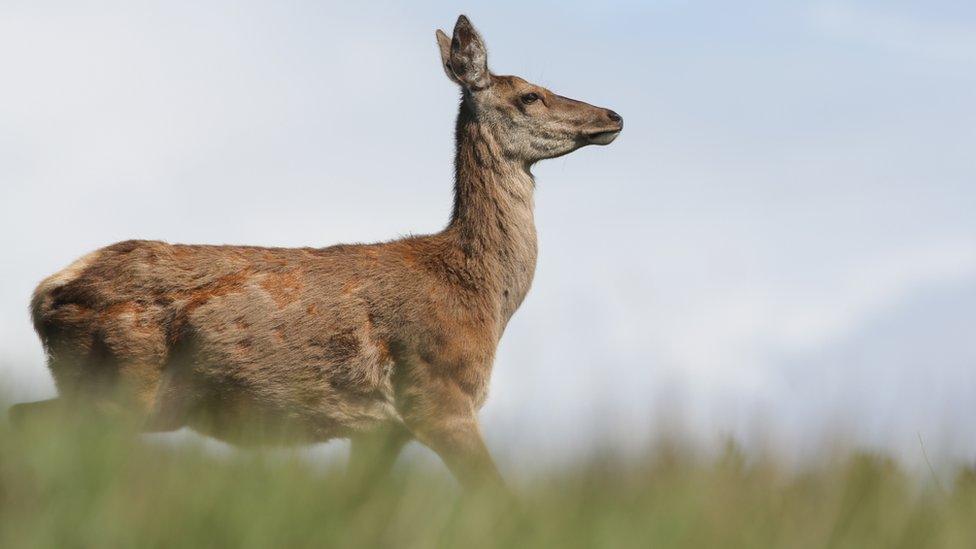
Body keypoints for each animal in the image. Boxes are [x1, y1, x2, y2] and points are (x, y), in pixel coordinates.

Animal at [9, 16, 624, 488]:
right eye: (530, 95)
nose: (612, 116)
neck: (480, 292)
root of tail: (45, 293)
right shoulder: (438, 395)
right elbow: (498, 498)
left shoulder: (383, 430)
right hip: (119, 384)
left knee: (20, 414)